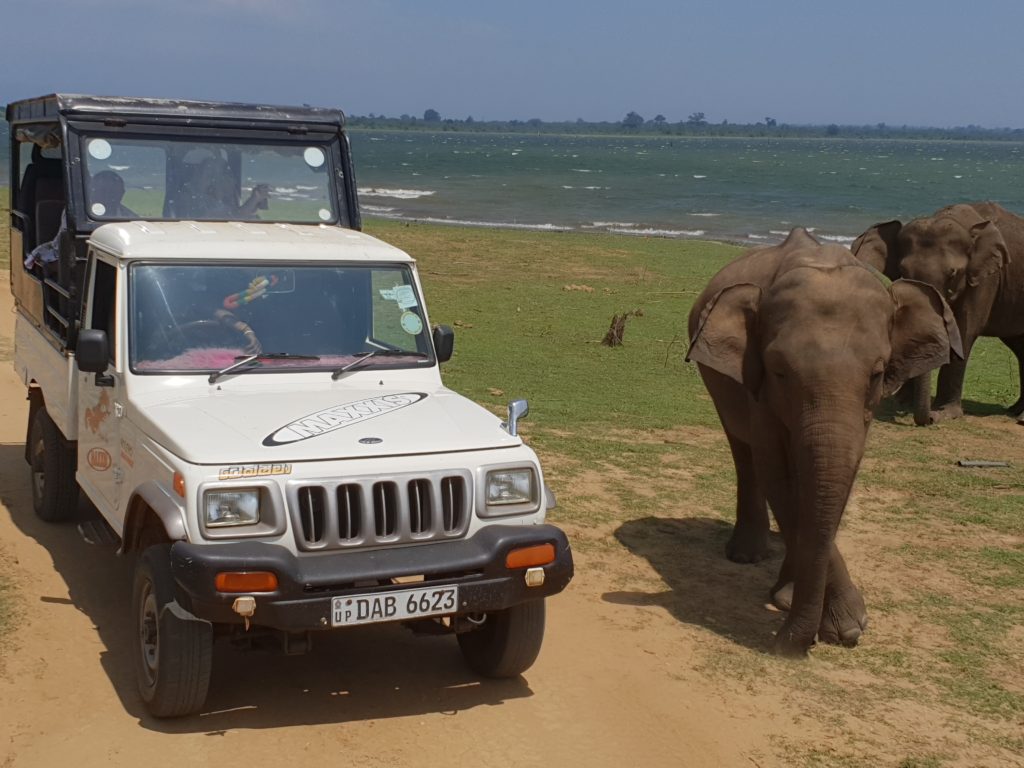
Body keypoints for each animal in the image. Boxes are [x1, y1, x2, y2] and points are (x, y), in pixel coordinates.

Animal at [688, 227, 958, 655]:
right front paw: (847, 625)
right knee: (743, 452)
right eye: (779, 371)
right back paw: (747, 557)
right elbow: (779, 474)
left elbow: (839, 473)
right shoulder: (757, 388)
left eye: (878, 373)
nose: (785, 644)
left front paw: (828, 620)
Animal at [851, 201, 1019, 423]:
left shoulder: (986, 279)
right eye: (903, 271)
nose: (930, 419)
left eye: (953, 273)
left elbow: (965, 332)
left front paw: (945, 413)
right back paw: (1015, 411)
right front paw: (903, 402)